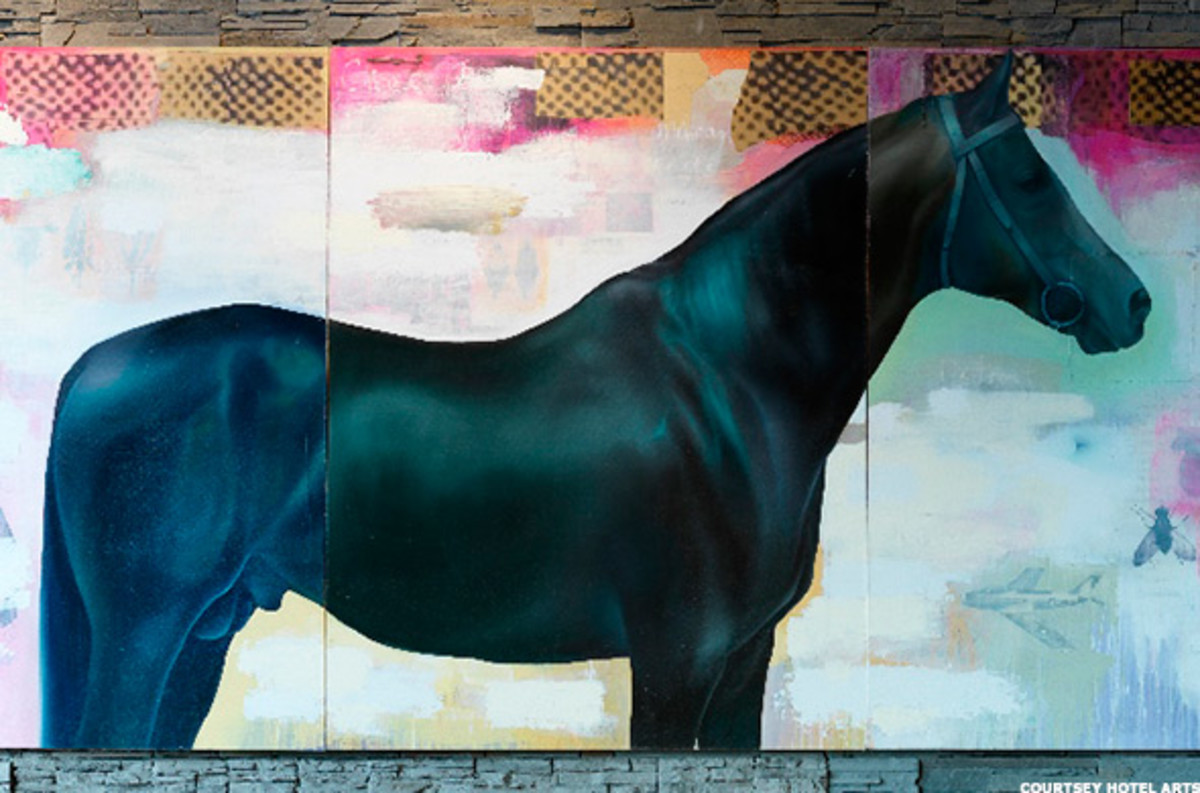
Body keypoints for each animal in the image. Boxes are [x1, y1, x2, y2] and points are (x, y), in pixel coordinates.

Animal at [41, 54, 1150, 750]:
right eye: (1027, 178)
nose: (1130, 302)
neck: (729, 389)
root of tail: (91, 362)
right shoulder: (672, 663)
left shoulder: (741, 664)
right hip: (147, 635)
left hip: (203, 636)